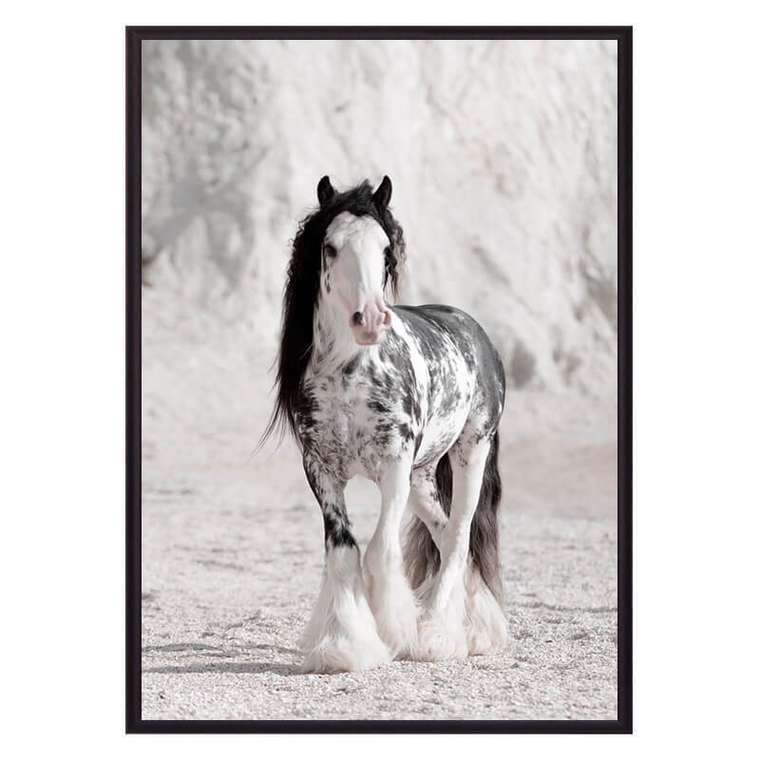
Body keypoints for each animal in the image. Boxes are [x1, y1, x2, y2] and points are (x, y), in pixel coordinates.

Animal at [263, 175, 509, 673]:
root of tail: (476, 333)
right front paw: (346, 647)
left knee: (459, 538)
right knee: (446, 536)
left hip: (471, 452)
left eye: (385, 250)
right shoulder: (321, 472)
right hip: (422, 478)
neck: (350, 374)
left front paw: (393, 632)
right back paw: (475, 629)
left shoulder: (393, 467)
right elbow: (343, 551)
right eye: (331, 248)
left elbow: (380, 550)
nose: (370, 320)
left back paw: (437, 637)